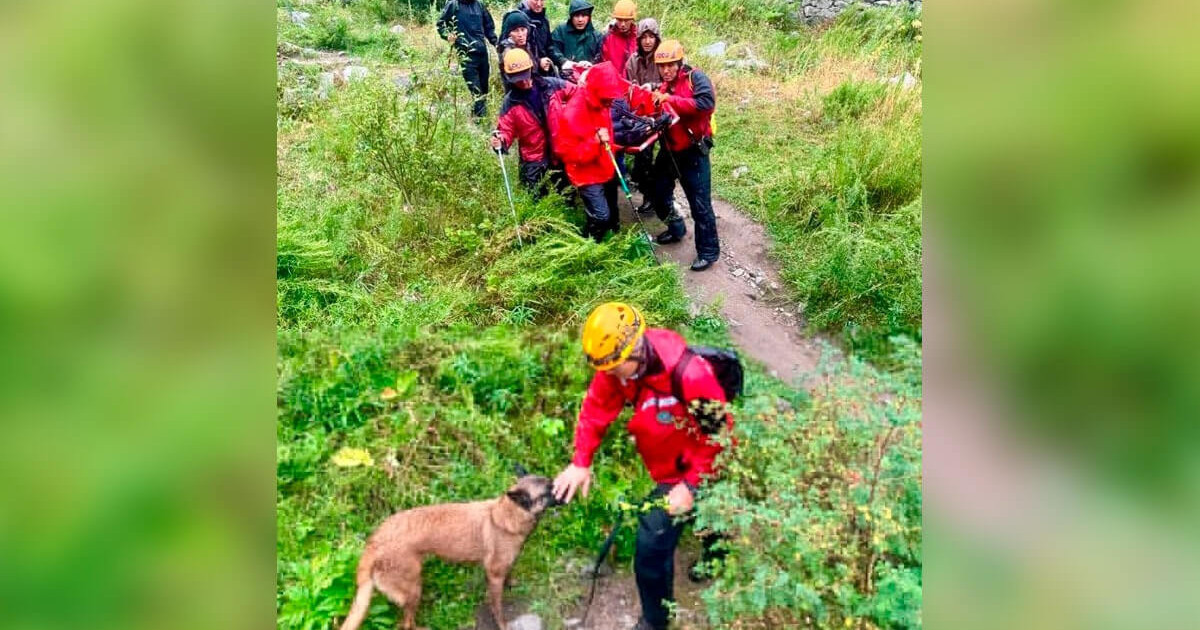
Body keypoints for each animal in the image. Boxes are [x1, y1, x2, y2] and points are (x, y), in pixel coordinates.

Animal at [340, 463, 559, 628]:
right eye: (548, 492)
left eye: (552, 483)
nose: (562, 490)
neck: (507, 516)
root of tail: (375, 542)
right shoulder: (494, 575)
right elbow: (497, 608)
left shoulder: (504, 566)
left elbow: (510, 574)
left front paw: (512, 583)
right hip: (413, 589)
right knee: (407, 624)